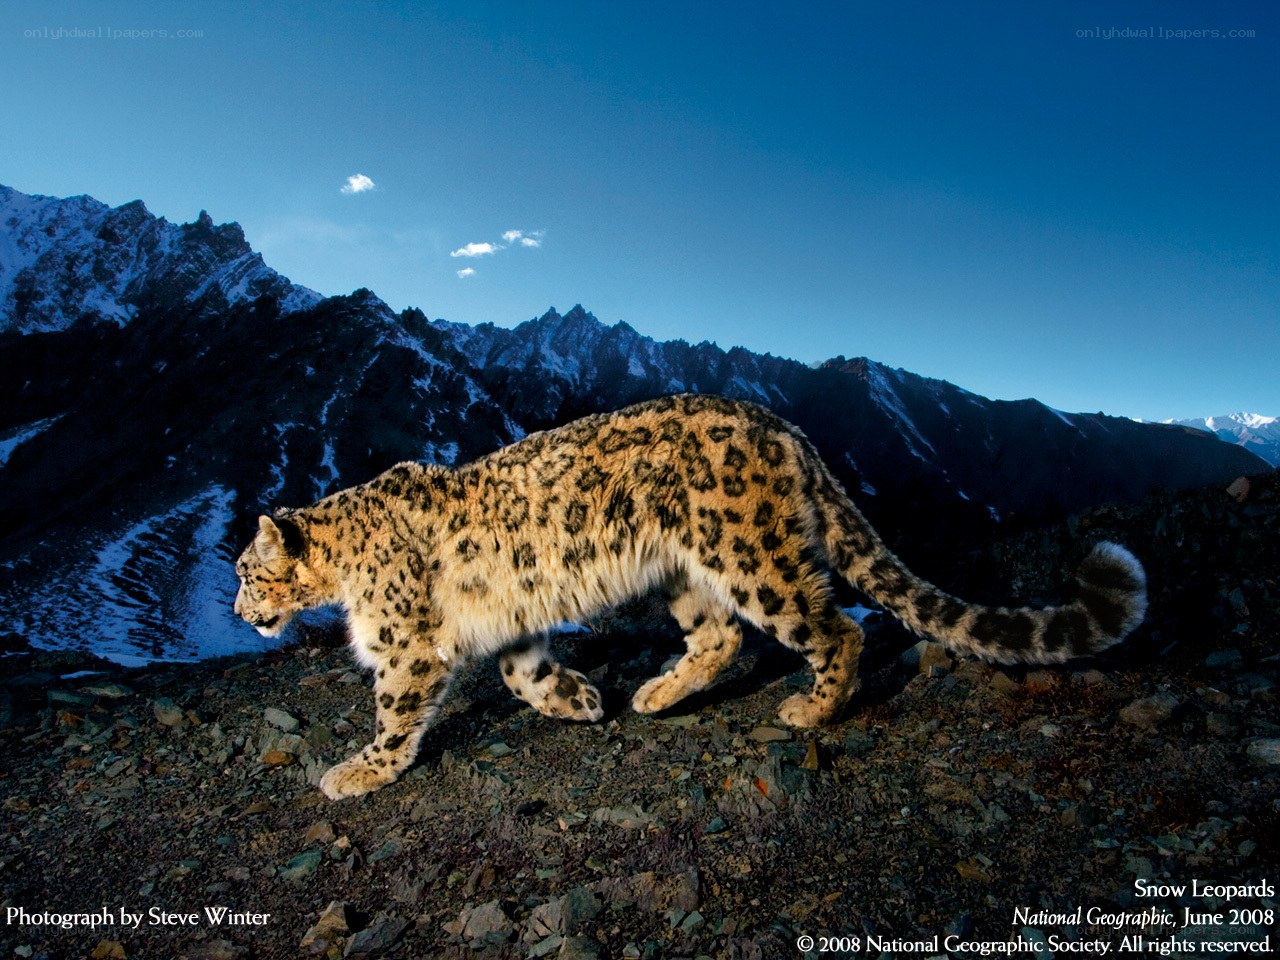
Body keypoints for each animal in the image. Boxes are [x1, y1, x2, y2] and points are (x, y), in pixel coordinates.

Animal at [233, 393, 1147, 800]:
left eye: (244, 570)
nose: (239, 612)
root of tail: (784, 426)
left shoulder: (405, 644)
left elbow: (396, 711)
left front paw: (358, 770)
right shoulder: (511, 624)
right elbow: (522, 674)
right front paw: (578, 700)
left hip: (751, 554)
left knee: (832, 628)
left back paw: (810, 710)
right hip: (684, 573)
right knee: (721, 638)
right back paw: (653, 694)